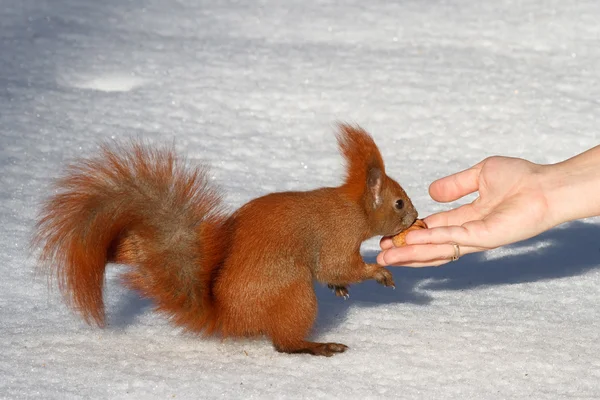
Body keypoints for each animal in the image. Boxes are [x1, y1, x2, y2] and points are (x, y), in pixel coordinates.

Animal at [32, 123, 418, 358]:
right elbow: (336, 265)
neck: (352, 207)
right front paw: (377, 273)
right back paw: (316, 346)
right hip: (293, 292)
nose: (414, 218)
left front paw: (340, 289)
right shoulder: (337, 236)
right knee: (284, 344)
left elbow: (334, 274)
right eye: (399, 203)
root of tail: (228, 316)